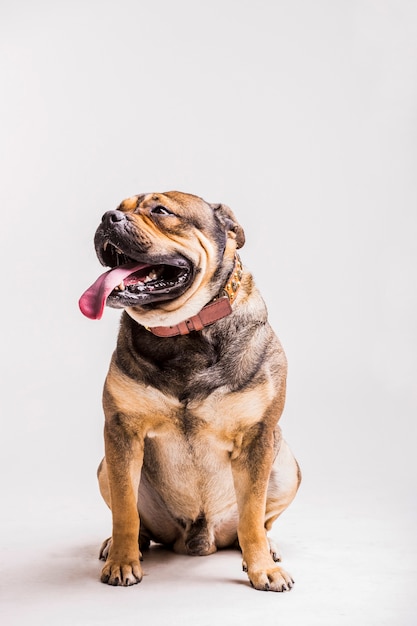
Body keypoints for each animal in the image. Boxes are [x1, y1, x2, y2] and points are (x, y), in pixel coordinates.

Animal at [79, 190, 300, 588]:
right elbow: (124, 509)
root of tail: (200, 538)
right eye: (118, 207)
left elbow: (252, 514)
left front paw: (263, 568)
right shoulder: (121, 432)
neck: (183, 331)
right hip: (106, 466)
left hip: (288, 466)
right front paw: (122, 561)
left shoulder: (257, 436)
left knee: (259, 521)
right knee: (134, 517)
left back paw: (267, 547)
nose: (108, 217)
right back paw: (122, 545)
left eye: (161, 210)